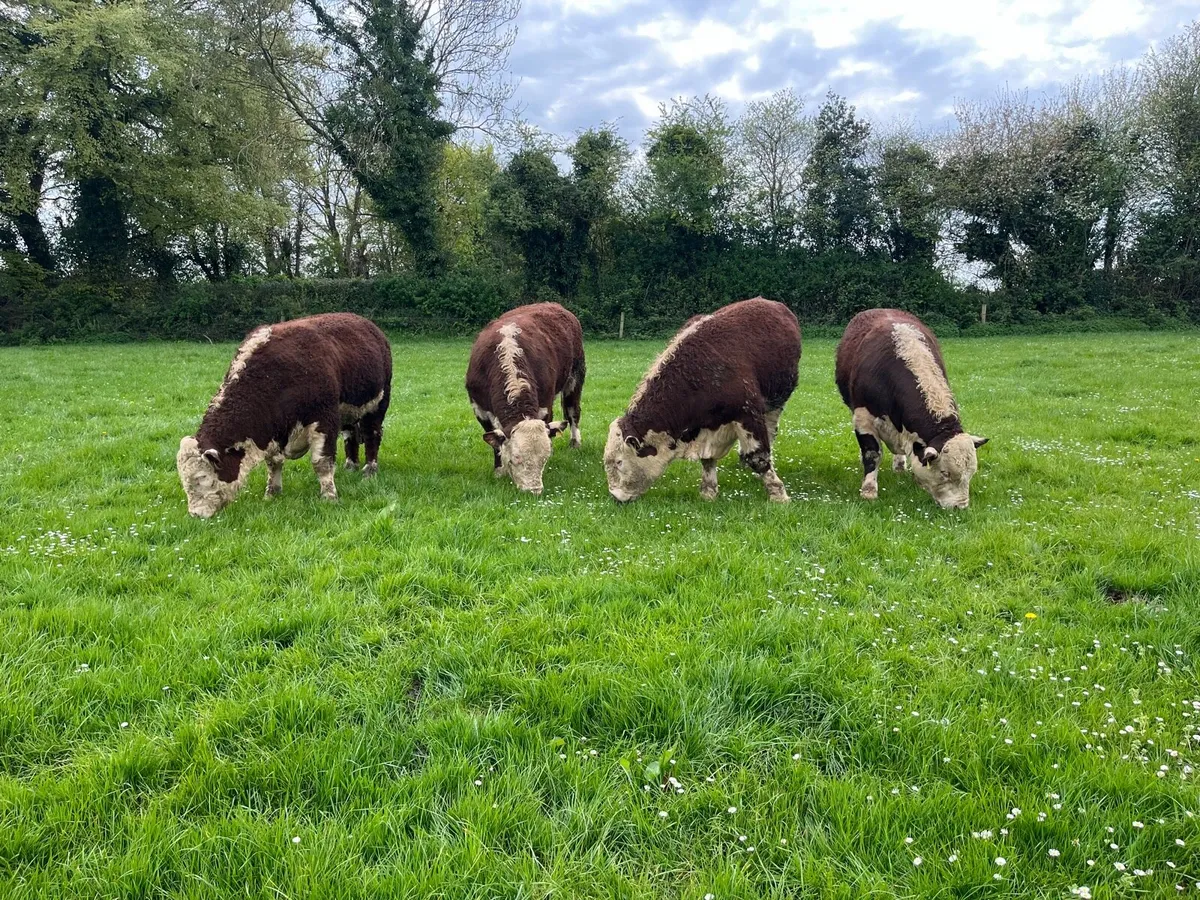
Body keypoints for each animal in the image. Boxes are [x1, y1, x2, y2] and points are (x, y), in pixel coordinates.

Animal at [176, 312, 392, 518]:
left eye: (202, 477)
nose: (196, 514)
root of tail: (367, 324)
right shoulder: (273, 429)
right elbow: (273, 463)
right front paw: (272, 493)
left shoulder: (325, 420)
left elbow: (321, 463)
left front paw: (329, 496)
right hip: (348, 413)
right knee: (350, 436)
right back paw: (350, 465)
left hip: (378, 404)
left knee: (372, 435)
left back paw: (369, 470)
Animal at [466, 302, 585, 495]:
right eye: (515, 459)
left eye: (543, 460)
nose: (534, 490)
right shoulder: (480, 409)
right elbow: (495, 444)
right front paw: (499, 471)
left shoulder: (544, 407)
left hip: (575, 376)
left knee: (572, 411)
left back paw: (575, 442)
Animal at [604, 297, 800, 503]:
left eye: (619, 462)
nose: (615, 496)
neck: (698, 373)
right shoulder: (707, 428)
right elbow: (708, 460)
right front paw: (708, 492)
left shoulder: (748, 414)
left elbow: (758, 457)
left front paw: (778, 494)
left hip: (776, 402)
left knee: (770, 432)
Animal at [834, 308, 988, 509]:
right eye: (945, 473)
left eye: (970, 474)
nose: (960, 506)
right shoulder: (863, 419)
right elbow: (872, 454)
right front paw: (868, 491)